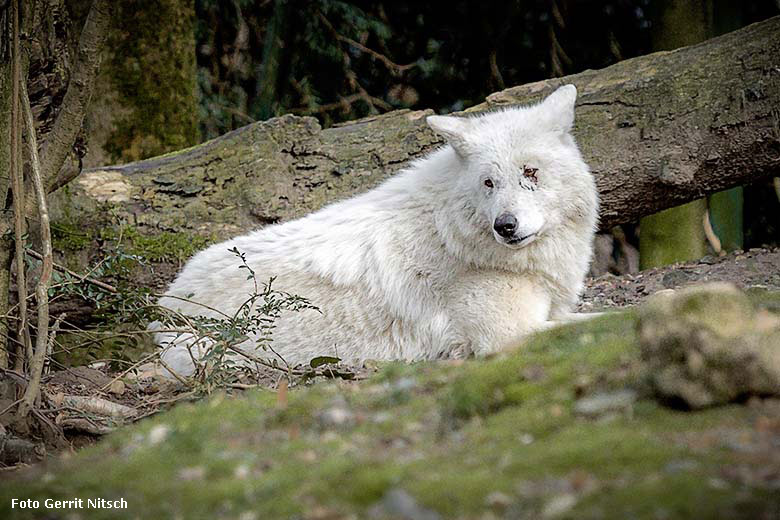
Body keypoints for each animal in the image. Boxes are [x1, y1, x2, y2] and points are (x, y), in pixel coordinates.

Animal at [155, 86, 600, 378]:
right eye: (489, 183)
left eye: (531, 172)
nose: (505, 226)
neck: (453, 234)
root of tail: (165, 304)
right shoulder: (506, 336)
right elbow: (599, 321)